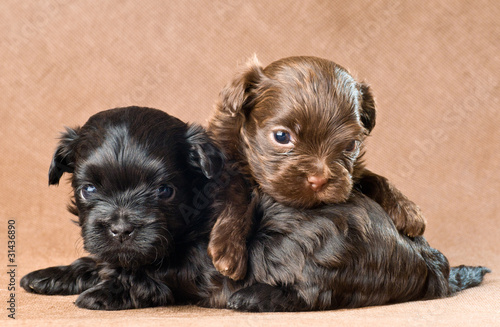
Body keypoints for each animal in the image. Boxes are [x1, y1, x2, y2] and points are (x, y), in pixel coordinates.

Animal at [21, 106, 486, 312]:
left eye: (165, 191)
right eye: (88, 189)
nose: (120, 228)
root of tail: (433, 265)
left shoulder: (196, 260)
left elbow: (149, 273)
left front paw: (104, 292)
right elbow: (103, 259)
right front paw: (53, 275)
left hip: (312, 234)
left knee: (318, 292)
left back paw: (256, 296)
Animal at [207, 55, 426, 280]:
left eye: (351, 145)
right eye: (281, 136)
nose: (319, 180)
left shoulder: (353, 173)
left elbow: (373, 177)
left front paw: (406, 208)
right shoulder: (226, 164)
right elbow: (238, 191)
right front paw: (230, 246)